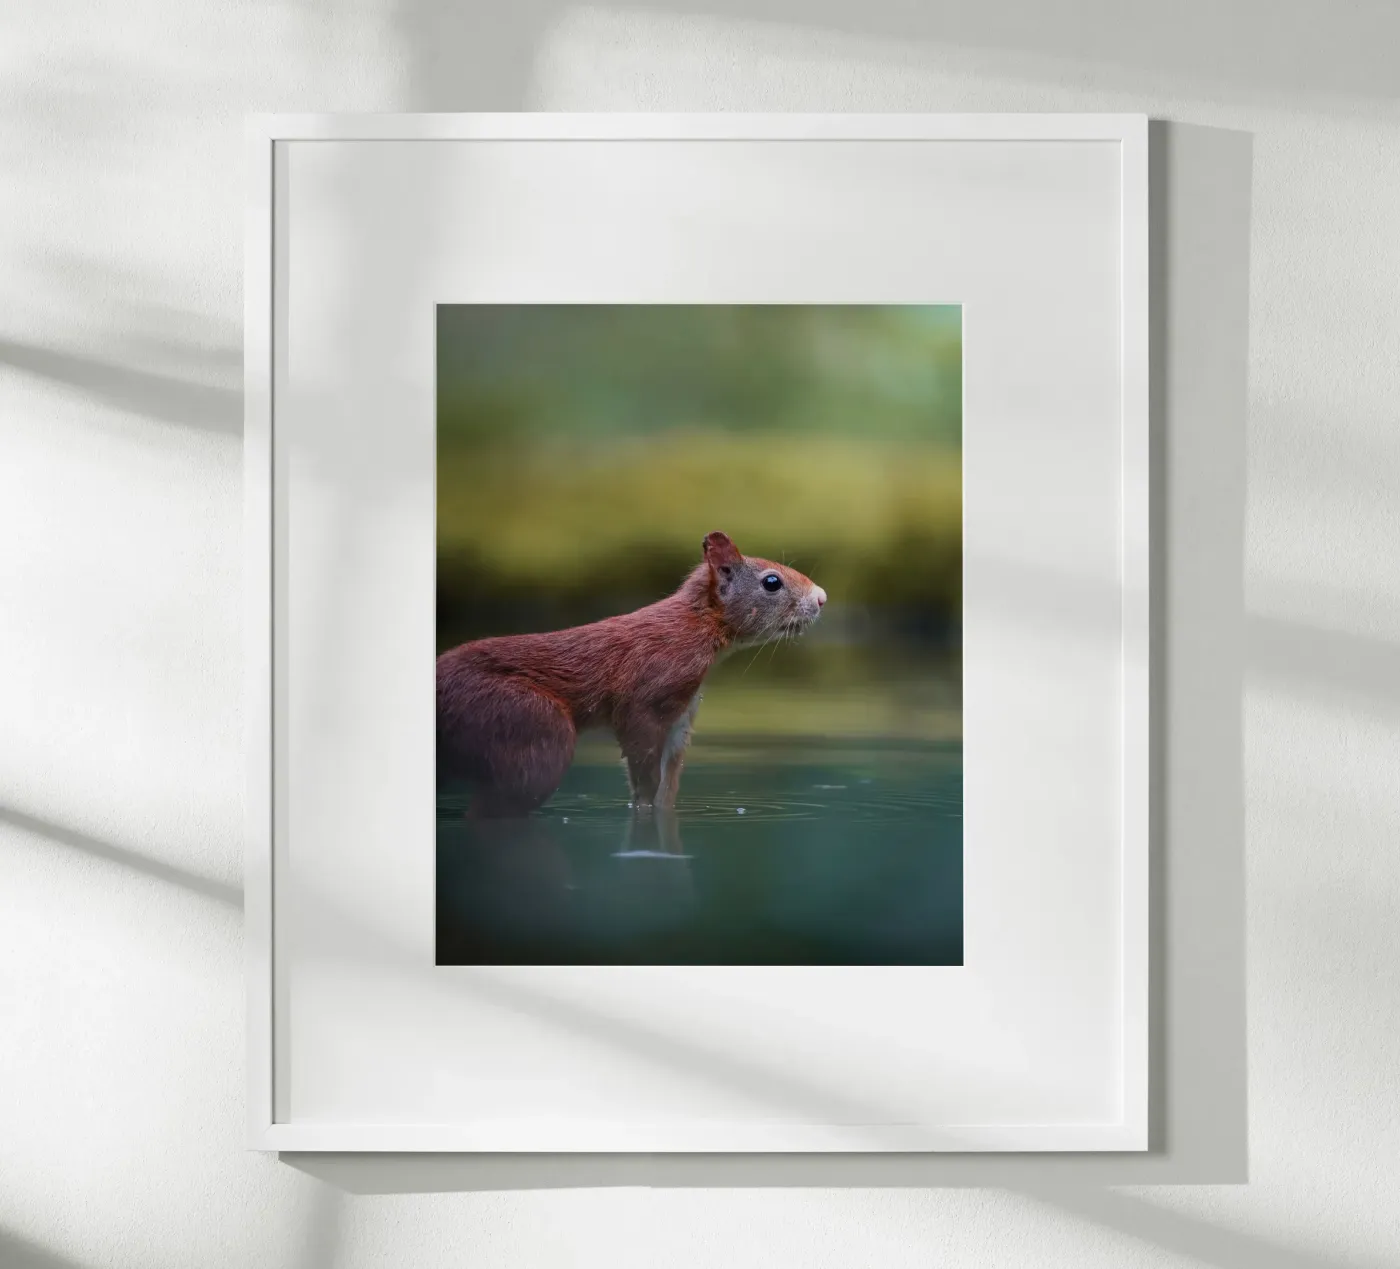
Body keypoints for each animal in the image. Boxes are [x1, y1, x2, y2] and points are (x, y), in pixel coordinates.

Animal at [437, 531, 826, 816]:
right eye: (772, 582)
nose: (821, 598)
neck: (695, 628)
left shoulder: (682, 716)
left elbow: (667, 785)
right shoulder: (646, 696)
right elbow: (643, 773)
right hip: (527, 723)